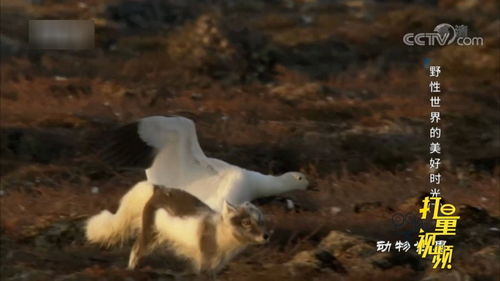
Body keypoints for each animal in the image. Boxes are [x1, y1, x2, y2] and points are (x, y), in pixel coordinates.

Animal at [86, 180, 270, 276]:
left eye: (261, 221)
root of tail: (156, 188)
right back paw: (131, 271)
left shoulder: (216, 266)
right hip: (150, 234)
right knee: (135, 249)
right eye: (246, 222)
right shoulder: (205, 263)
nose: (266, 236)